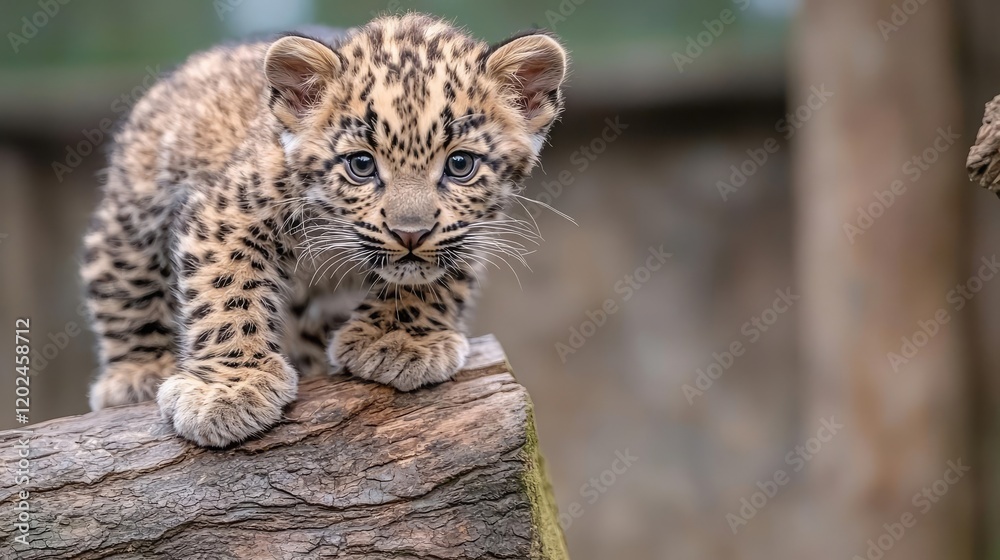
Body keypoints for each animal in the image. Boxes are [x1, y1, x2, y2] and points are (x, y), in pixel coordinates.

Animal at [80, 13, 568, 447]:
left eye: (460, 164)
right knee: (123, 279)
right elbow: (227, 295)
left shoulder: (471, 231)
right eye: (361, 165)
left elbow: (432, 280)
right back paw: (137, 374)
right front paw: (229, 389)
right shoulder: (227, 214)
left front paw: (398, 339)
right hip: (135, 214)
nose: (410, 234)